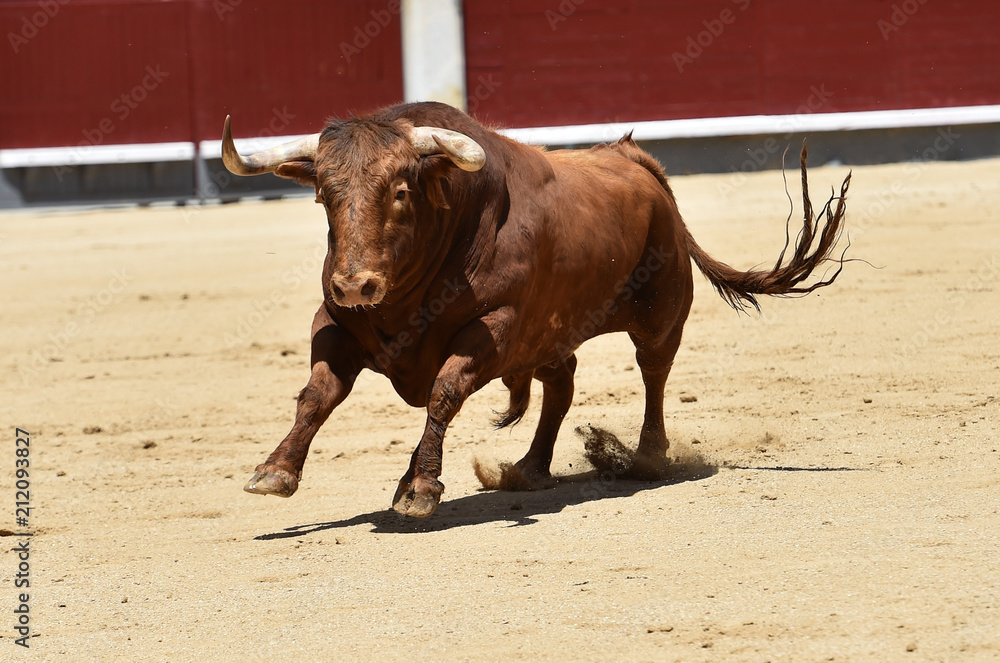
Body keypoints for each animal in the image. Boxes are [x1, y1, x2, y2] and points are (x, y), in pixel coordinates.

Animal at [223, 102, 848, 520]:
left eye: (400, 191)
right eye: (324, 194)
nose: (357, 284)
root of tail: (638, 162)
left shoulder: (494, 329)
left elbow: (442, 392)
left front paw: (420, 487)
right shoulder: (335, 322)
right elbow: (318, 394)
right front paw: (274, 471)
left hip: (660, 311)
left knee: (653, 371)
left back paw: (647, 457)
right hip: (551, 334)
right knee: (562, 384)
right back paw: (529, 467)